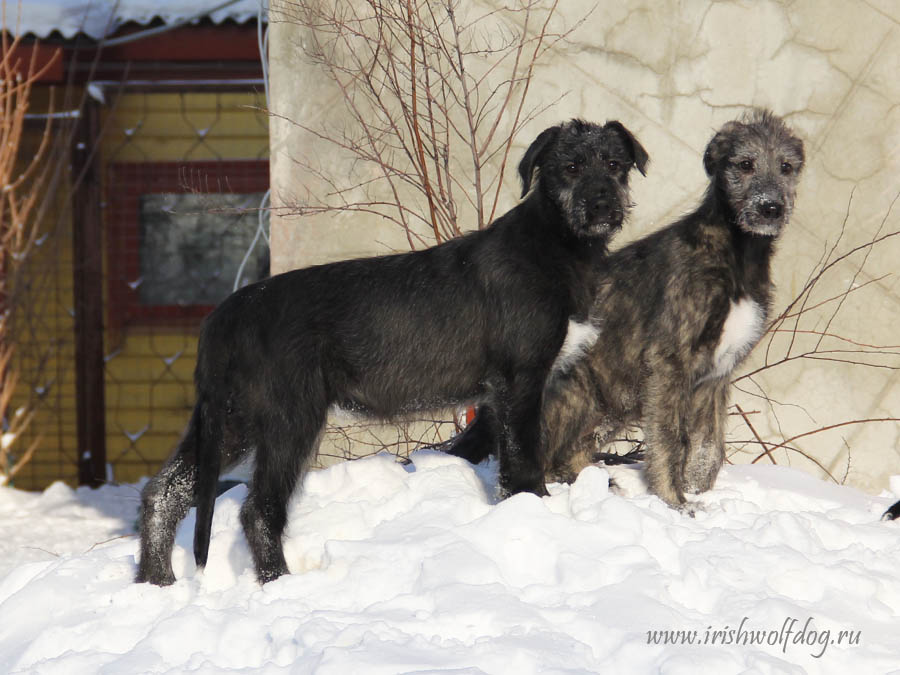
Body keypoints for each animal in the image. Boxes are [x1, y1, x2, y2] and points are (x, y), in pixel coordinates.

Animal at [135, 119, 648, 584]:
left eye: (615, 164)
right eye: (571, 166)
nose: (602, 204)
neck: (554, 242)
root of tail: (229, 312)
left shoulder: (499, 395)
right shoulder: (520, 382)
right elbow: (522, 460)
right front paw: (534, 510)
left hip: (231, 419)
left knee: (165, 492)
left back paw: (157, 581)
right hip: (288, 419)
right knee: (259, 509)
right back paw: (278, 583)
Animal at [446, 111, 804, 512]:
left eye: (787, 167)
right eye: (745, 164)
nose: (770, 208)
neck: (737, 254)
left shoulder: (717, 373)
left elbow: (708, 448)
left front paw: (697, 496)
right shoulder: (669, 363)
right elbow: (669, 440)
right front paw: (675, 503)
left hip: (614, 399)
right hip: (577, 393)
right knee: (545, 458)